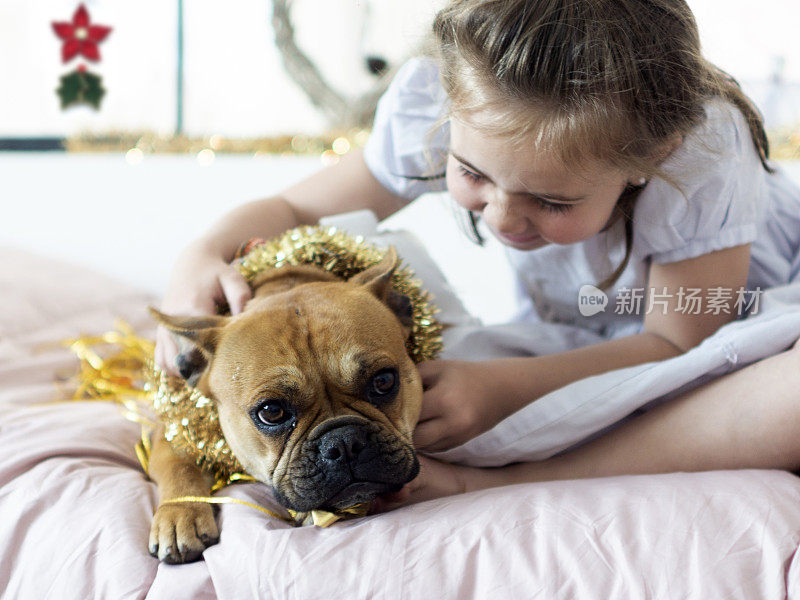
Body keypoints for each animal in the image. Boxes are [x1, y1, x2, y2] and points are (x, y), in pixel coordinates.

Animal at [148, 247, 424, 564]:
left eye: (383, 381)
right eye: (271, 412)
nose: (343, 442)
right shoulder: (170, 430)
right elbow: (178, 464)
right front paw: (180, 515)